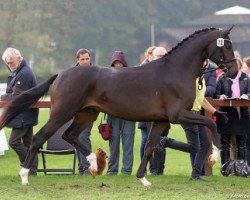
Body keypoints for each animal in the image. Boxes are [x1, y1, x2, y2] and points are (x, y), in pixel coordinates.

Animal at [0, 27, 237, 186]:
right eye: (226, 44)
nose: (234, 71)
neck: (176, 70)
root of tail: (60, 74)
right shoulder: (179, 115)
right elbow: (210, 124)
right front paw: (215, 156)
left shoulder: (161, 120)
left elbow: (149, 147)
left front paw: (143, 179)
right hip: (62, 113)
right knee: (40, 138)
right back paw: (24, 177)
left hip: (87, 114)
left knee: (70, 135)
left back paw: (93, 162)